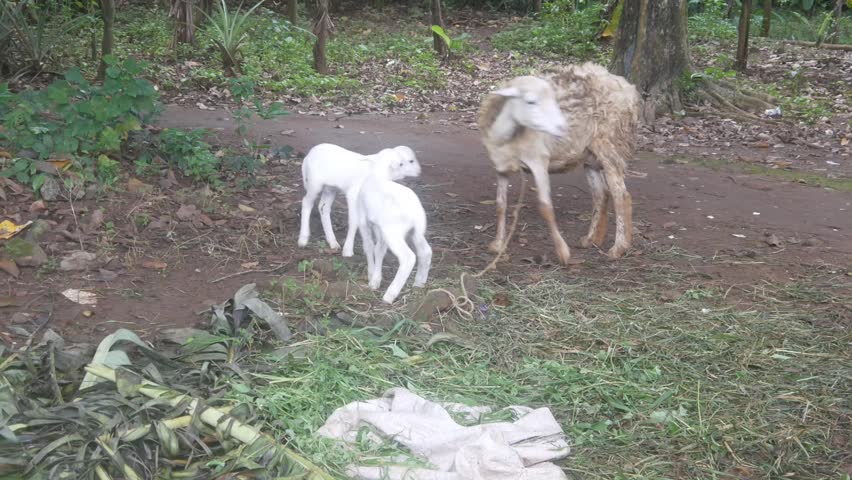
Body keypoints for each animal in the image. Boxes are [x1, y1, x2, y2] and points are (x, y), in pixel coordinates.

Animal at [356, 148, 432, 304]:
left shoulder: (363, 219)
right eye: (402, 163)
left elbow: (369, 247)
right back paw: (419, 283)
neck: (379, 174)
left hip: (393, 233)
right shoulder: (379, 228)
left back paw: (390, 294)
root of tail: (415, 213)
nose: (418, 171)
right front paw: (376, 279)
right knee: (426, 252)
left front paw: (371, 274)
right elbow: (379, 250)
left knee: (408, 257)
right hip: (416, 232)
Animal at [477, 62, 640, 264]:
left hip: (610, 144)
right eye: (531, 101)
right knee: (601, 194)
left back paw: (618, 248)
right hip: (590, 156)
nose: (561, 127)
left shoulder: (538, 160)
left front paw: (563, 252)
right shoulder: (501, 166)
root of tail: (627, 88)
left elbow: (545, 207)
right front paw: (498, 245)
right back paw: (591, 240)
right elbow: (500, 204)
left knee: (621, 196)